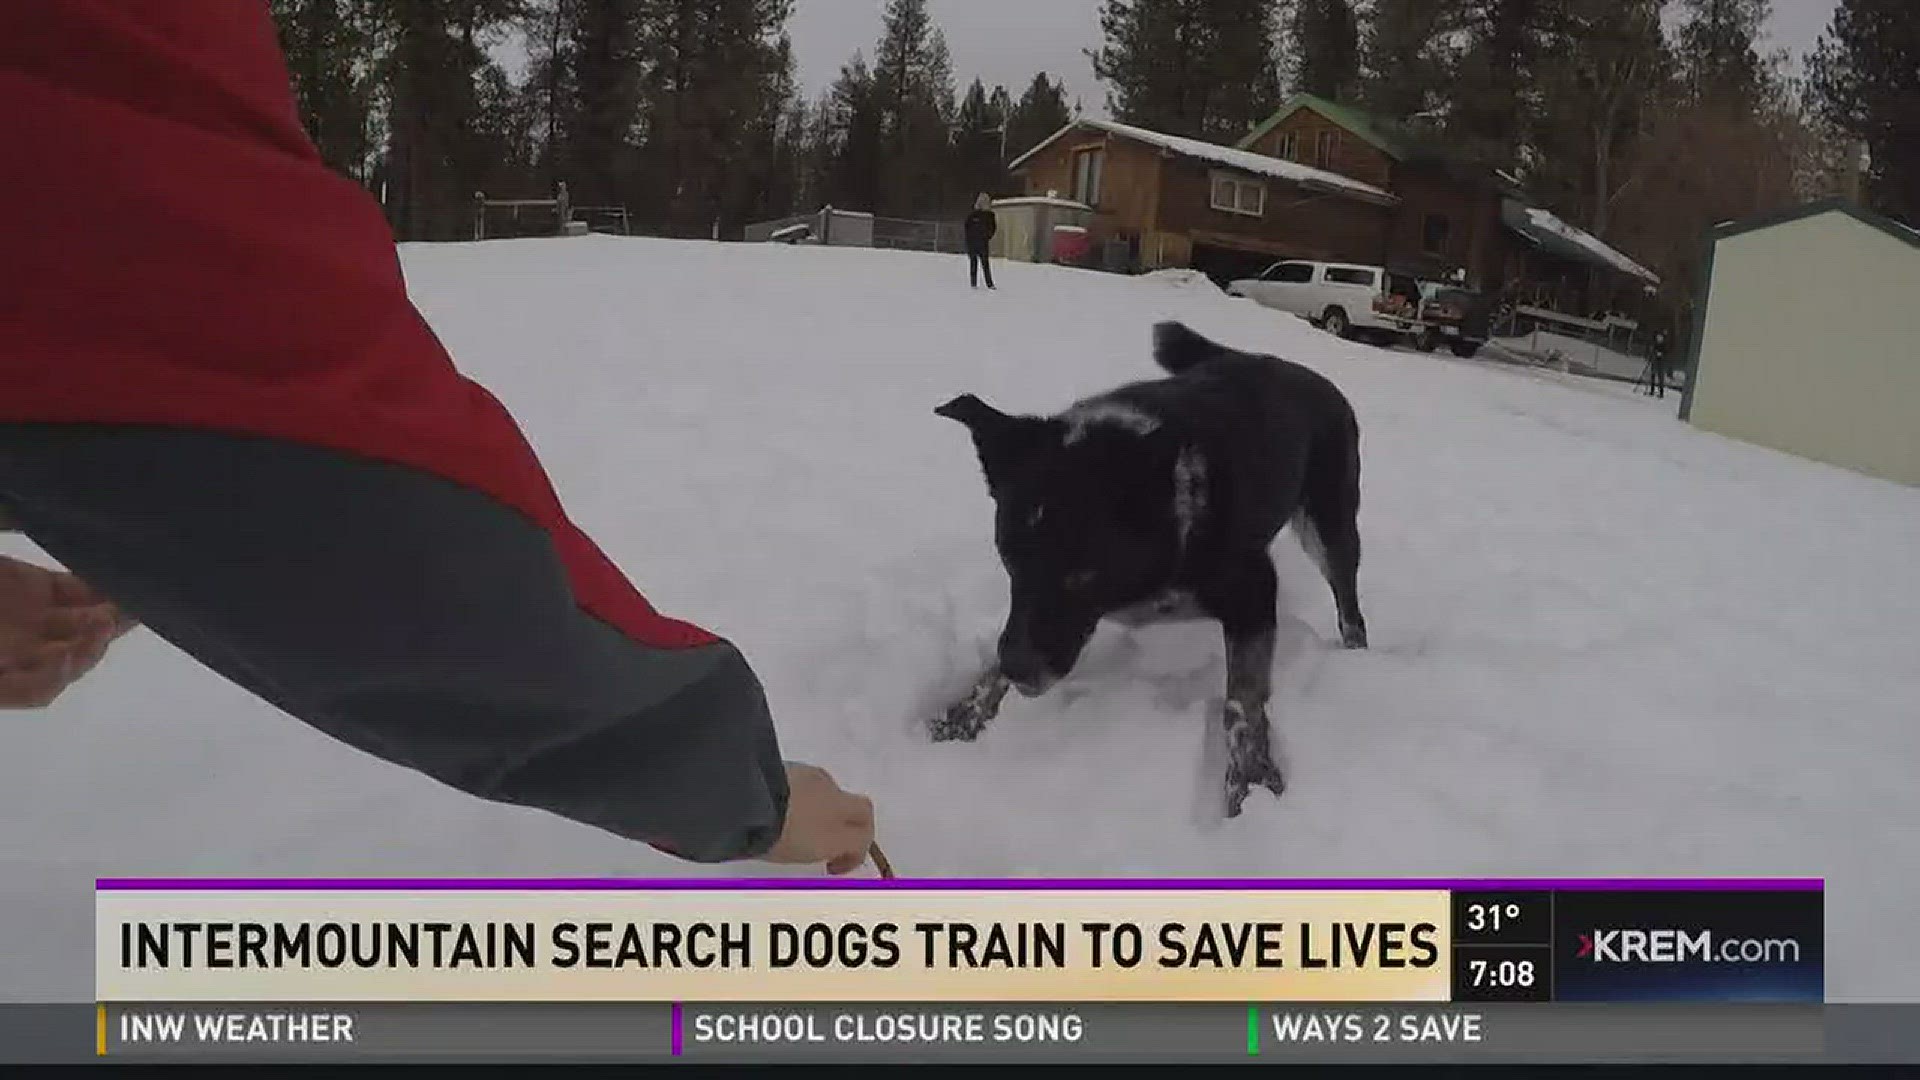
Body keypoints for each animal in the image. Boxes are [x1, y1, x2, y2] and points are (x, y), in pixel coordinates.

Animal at [929, 319, 1367, 814]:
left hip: (1329, 527)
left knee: (1349, 603)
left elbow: (1241, 704)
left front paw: (1252, 783)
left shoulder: (1252, 589)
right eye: (1008, 559)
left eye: (1082, 573)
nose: (1021, 672)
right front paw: (963, 716)